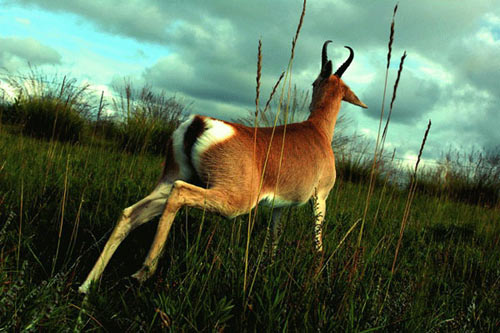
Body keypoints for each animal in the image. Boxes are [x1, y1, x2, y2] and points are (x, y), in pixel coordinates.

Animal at [79, 41, 368, 294]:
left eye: (316, 82)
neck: (317, 131)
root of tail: (199, 122)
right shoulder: (320, 198)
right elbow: (317, 239)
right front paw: (317, 270)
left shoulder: (279, 206)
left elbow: (273, 239)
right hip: (232, 201)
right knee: (179, 193)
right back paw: (142, 272)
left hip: (170, 182)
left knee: (130, 213)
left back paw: (86, 286)